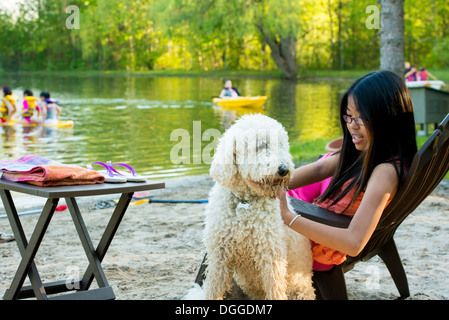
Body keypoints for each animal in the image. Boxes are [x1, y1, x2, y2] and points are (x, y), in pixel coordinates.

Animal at [193, 114, 316, 300]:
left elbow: (275, 290)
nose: (284, 169)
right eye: (260, 146)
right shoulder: (219, 257)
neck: (245, 201)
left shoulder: (271, 258)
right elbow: (213, 289)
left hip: (300, 290)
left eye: (281, 145)